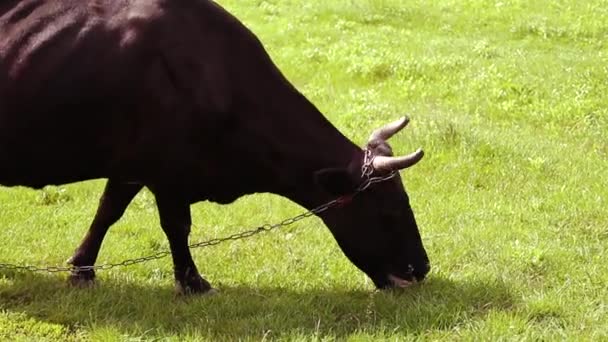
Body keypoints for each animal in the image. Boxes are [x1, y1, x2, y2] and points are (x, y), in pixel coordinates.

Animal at [0, 0, 430, 294]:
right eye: (388, 210)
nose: (421, 268)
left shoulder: (133, 168)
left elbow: (109, 212)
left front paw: (82, 269)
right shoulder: (160, 170)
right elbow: (170, 224)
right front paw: (192, 282)